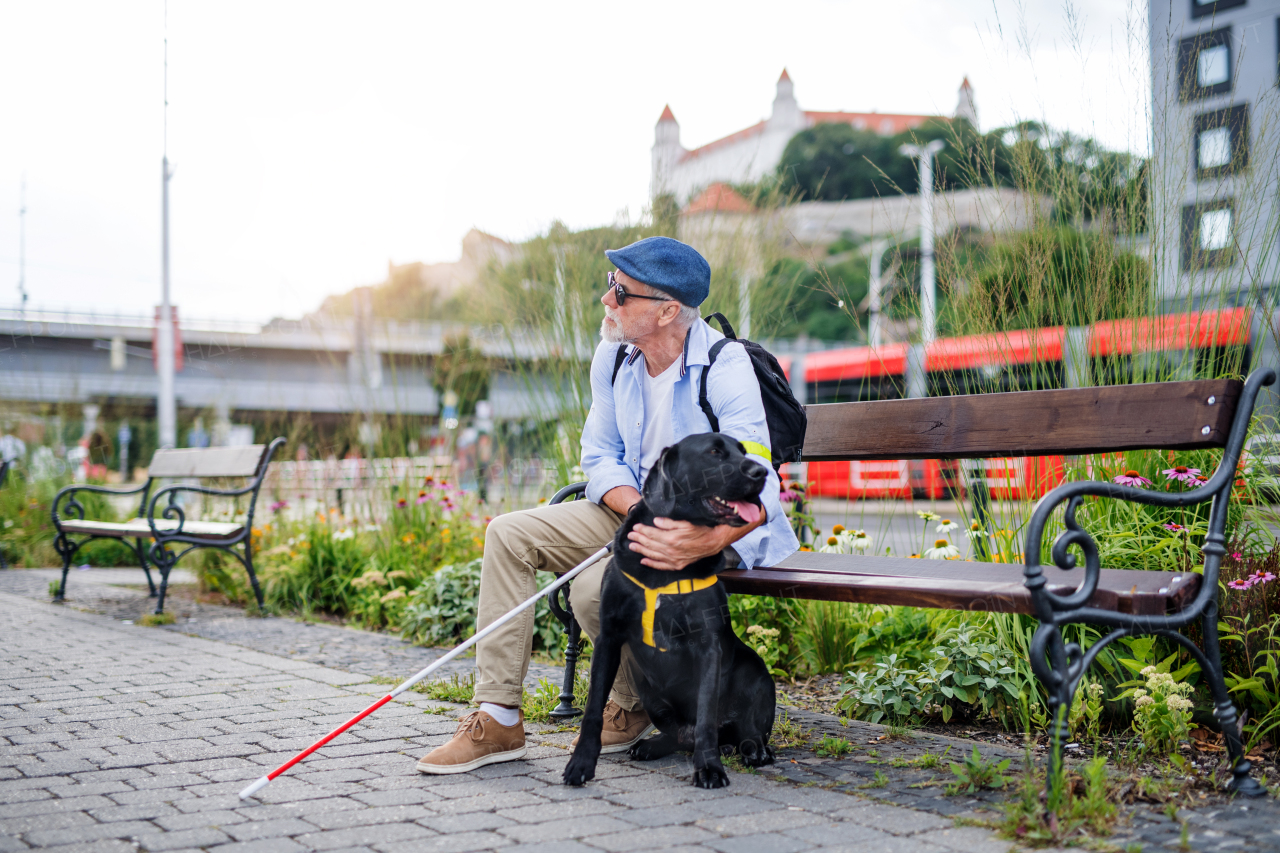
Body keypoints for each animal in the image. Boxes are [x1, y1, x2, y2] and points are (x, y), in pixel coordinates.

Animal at [565, 427, 773, 788]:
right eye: (714, 453)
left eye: (743, 450)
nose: (762, 472)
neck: (665, 572)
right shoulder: (608, 638)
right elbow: (592, 710)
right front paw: (580, 764)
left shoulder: (708, 645)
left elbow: (705, 714)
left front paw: (709, 767)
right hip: (647, 689)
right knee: (675, 734)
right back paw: (652, 745)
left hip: (757, 673)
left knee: (742, 730)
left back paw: (752, 749)